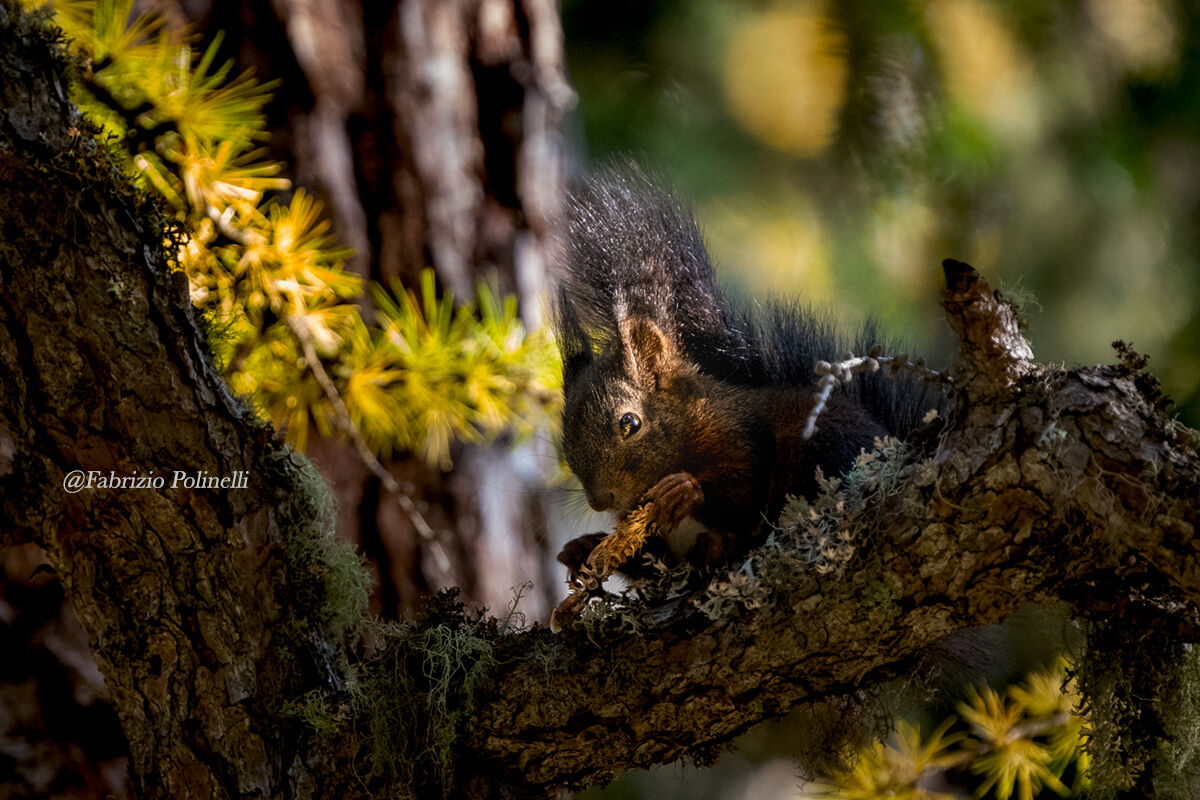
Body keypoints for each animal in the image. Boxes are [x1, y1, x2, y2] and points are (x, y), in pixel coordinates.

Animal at [553, 164, 944, 582]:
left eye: (630, 423)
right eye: (564, 441)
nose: (601, 501)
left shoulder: (740, 436)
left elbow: (742, 491)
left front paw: (685, 492)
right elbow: (654, 562)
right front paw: (584, 547)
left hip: (823, 439)